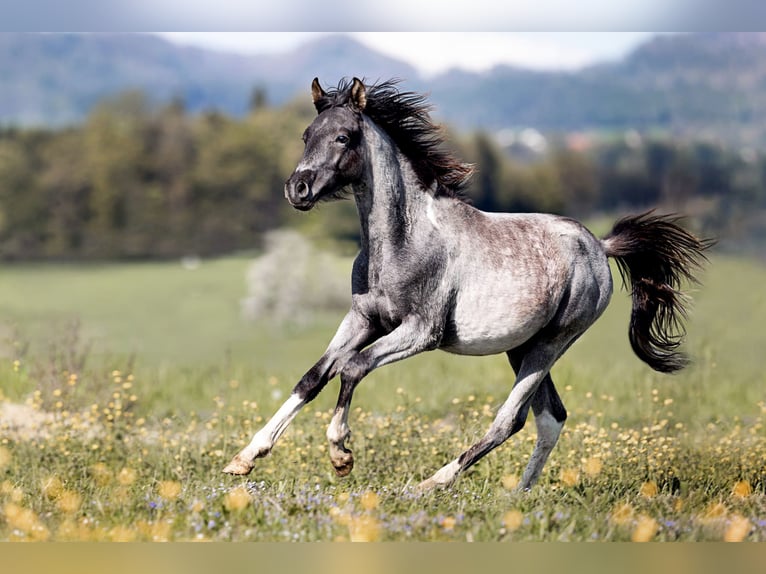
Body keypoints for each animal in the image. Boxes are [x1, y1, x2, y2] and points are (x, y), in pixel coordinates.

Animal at [223, 77, 713, 491]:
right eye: (307, 135)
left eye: (343, 137)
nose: (298, 189)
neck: (403, 239)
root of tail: (600, 245)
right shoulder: (364, 318)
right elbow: (313, 377)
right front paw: (244, 458)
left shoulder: (421, 331)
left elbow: (353, 367)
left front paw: (341, 455)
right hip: (521, 345)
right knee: (550, 418)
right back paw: (518, 495)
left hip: (551, 342)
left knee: (510, 420)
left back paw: (434, 483)